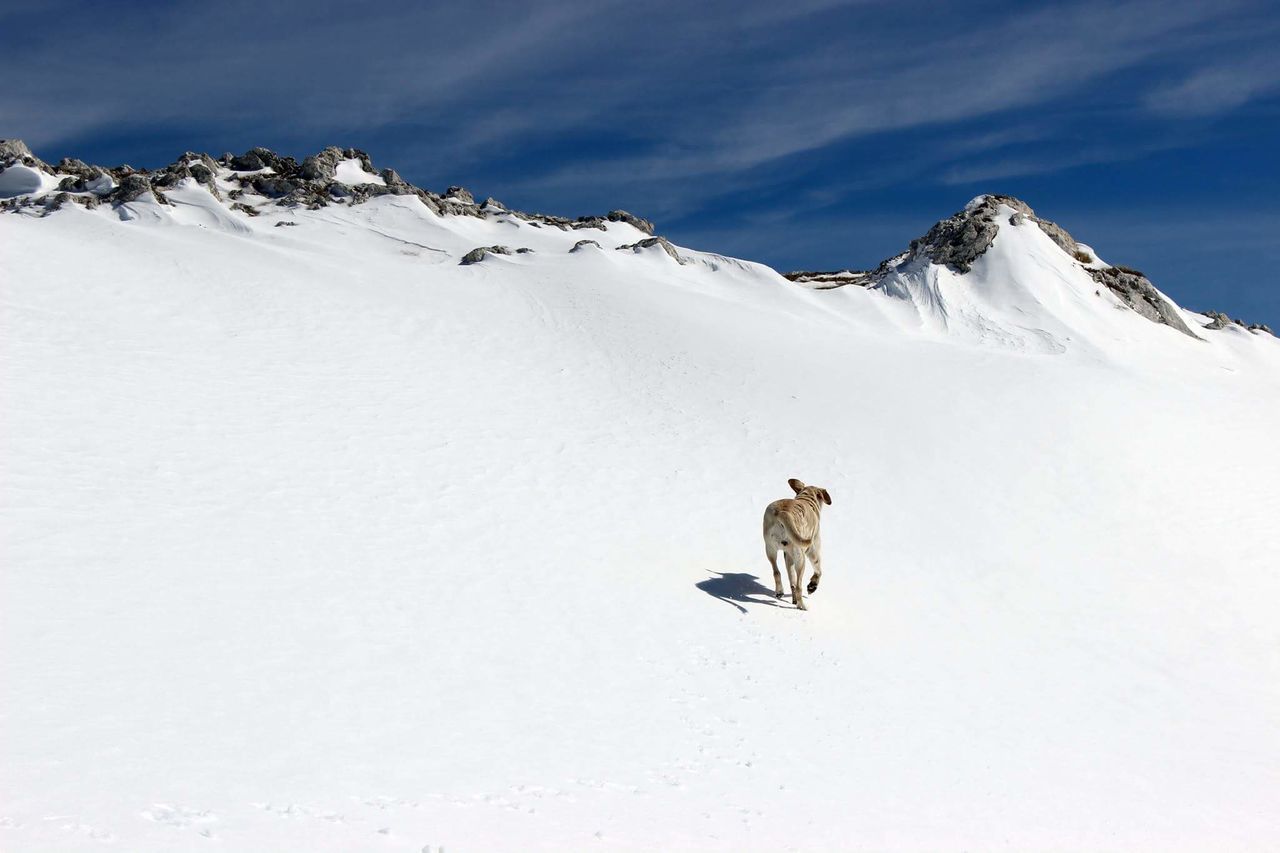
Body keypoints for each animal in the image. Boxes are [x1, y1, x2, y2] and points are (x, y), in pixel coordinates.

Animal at [757, 473, 829, 607]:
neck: (806, 498)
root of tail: (783, 512)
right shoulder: (813, 550)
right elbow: (818, 571)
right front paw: (812, 586)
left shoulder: (788, 556)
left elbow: (792, 581)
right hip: (801, 557)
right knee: (799, 585)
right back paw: (802, 606)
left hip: (770, 549)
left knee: (777, 572)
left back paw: (780, 592)